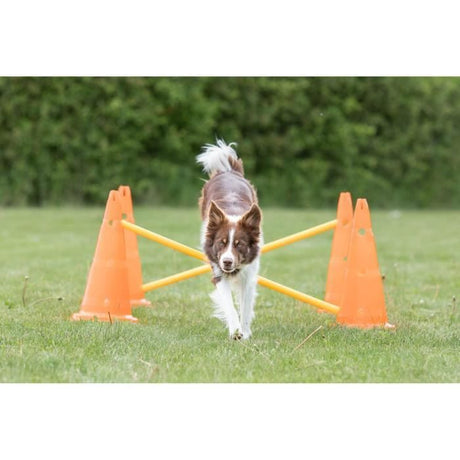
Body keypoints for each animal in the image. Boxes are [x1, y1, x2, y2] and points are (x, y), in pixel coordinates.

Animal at [197, 139, 263, 340]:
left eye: (239, 245)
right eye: (222, 243)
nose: (227, 262)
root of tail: (228, 171)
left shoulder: (249, 274)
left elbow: (245, 306)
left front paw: (245, 332)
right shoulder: (218, 272)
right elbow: (229, 304)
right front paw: (235, 331)